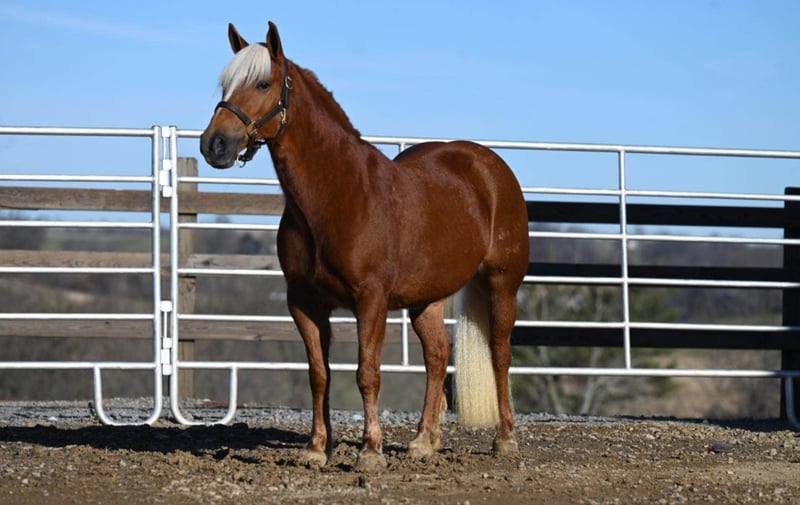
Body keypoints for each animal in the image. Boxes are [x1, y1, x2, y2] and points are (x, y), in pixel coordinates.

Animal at [200, 19, 532, 468]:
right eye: (225, 85)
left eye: (263, 83)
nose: (214, 144)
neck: (336, 195)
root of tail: (490, 166)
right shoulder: (303, 303)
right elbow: (319, 374)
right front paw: (316, 449)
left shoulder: (370, 300)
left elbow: (367, 373)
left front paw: (370, 452)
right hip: (426, 298)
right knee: (436, 356)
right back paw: (423, 442)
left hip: (502, 284)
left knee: (500, 352)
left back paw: (504, 439)